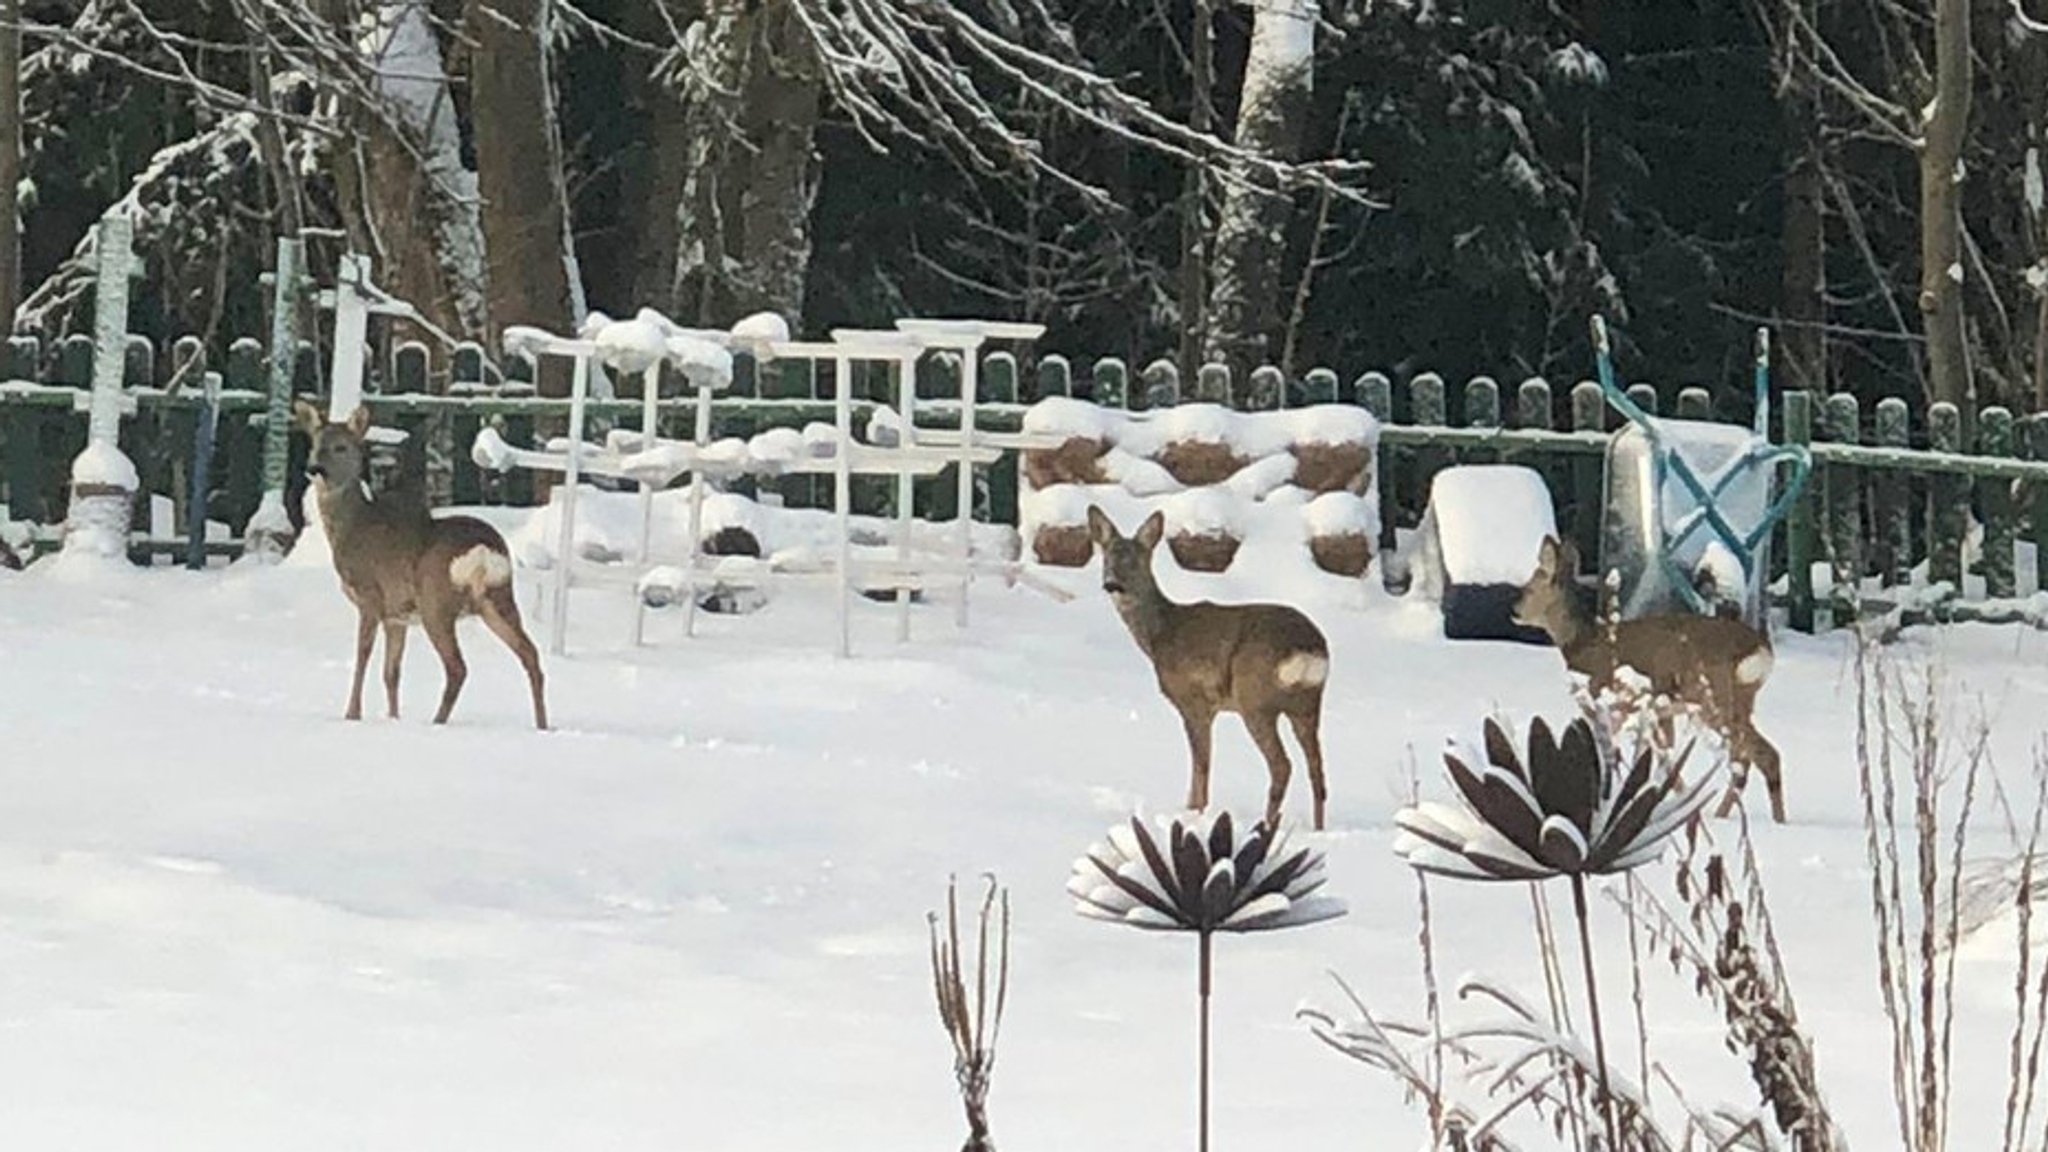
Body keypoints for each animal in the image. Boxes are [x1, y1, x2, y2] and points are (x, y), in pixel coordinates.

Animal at [296, 401, 548, 725]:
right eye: (315, 445)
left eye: (341, 446)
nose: (314, 469)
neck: (353, 528)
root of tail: (483, 550)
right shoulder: (396, 615)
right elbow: (391, 672)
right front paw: (393, 717)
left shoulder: (370, 595)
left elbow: (363, 656)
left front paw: (352, 714)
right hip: (498, 597)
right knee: (530, 655)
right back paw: (542, 725)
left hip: (435, 601)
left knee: (457, 667)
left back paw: (437, 721)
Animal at [1081, 506, 1335, 828]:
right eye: (1107, 558)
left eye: (1136, 561)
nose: (1112, 584)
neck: (1160, 635)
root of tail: (1307, 648)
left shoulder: (1194, 701)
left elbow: (1201, 765)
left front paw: (1195, 814)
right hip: (1308, 703)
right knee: (1317, 770)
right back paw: (1317, 829)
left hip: (1255, 699)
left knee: (1282, 765)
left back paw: (1265, 825)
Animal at [1515, 532, 1785, 819]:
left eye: (1529, 588)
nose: (1513, 609)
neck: (1584, 645)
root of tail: (1762, 649)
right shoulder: (1659, 710)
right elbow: (1666, 760)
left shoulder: (1606, 697)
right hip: (1737, 700)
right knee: (1752, 757)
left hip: (1713, 696)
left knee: (1755, 755)